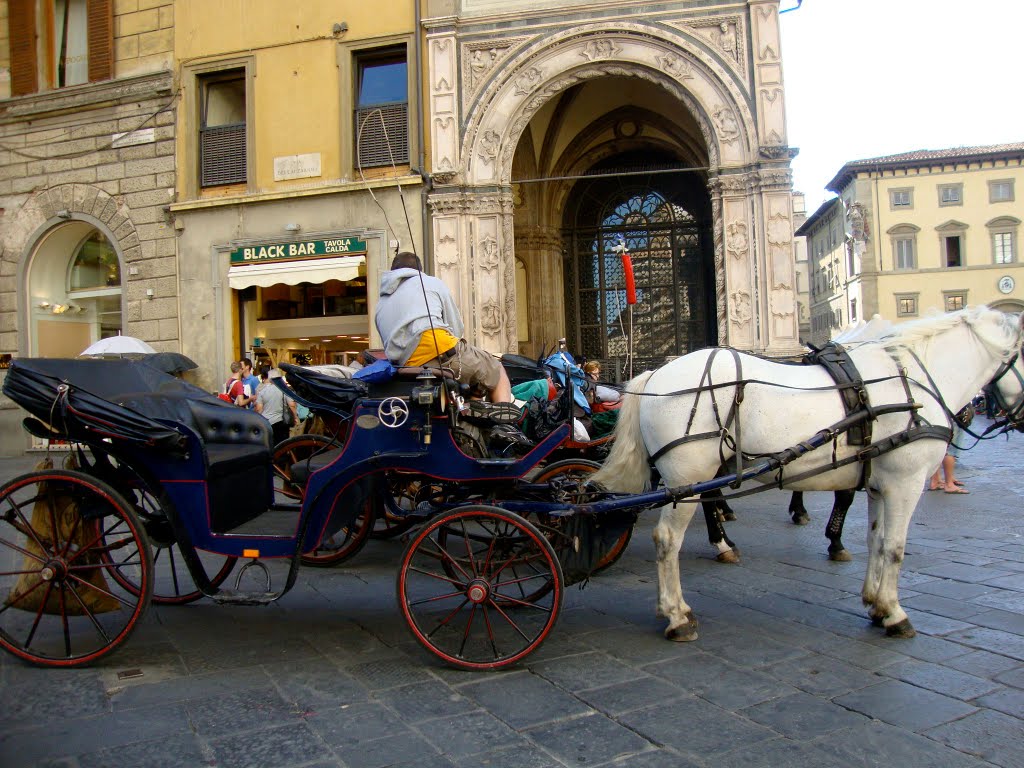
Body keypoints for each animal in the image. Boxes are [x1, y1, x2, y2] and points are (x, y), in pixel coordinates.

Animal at [593, 307, 1024, 643]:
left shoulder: (878, 483)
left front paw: (875, 604)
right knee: (667, 539)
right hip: (688, 476)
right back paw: (678, 615)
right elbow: (895, 547)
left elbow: (876, 540)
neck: (912, 381)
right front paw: (896, 614)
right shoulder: (907, 481)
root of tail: (653, 376)